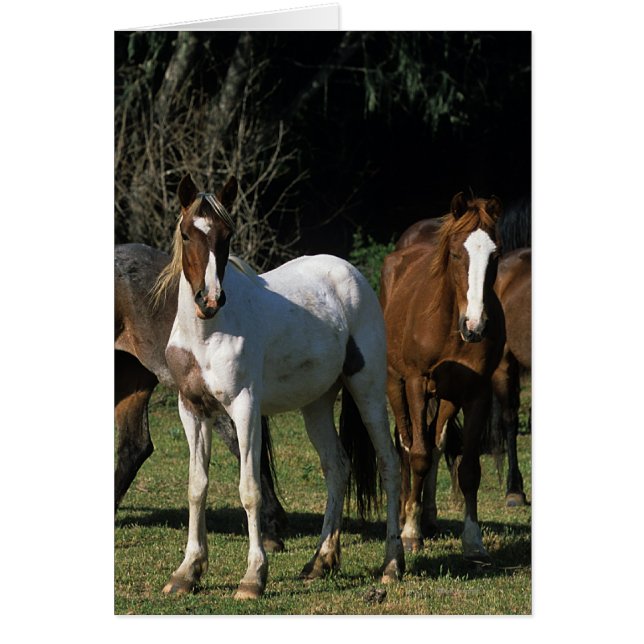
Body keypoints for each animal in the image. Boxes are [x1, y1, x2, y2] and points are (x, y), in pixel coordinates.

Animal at [152, 174, 404, 600]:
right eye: (187, 234)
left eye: (226, 235)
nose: (210, 299)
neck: (208, 333)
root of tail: (350, 274)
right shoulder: (192, 409)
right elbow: (196, 487)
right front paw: (187, 572)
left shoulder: (245, 408)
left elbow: (250, 489)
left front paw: (253, 577)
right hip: (317, 404)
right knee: (337, 467)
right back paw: (320, 562)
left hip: (367, 391)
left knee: (389, 464)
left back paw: (391, 564)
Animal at [381, 192, 505, 559]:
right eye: (455, 253)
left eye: (495, 254)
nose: (475, 325)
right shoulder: (417, 383)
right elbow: (418, 455)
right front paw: (409, 533)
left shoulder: (477, 392)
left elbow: (469, 469)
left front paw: (473, 540)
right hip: (396, 384)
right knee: (406, 444)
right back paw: (406, 513)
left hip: (447, 396)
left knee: (436, 443)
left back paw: (428, 515)